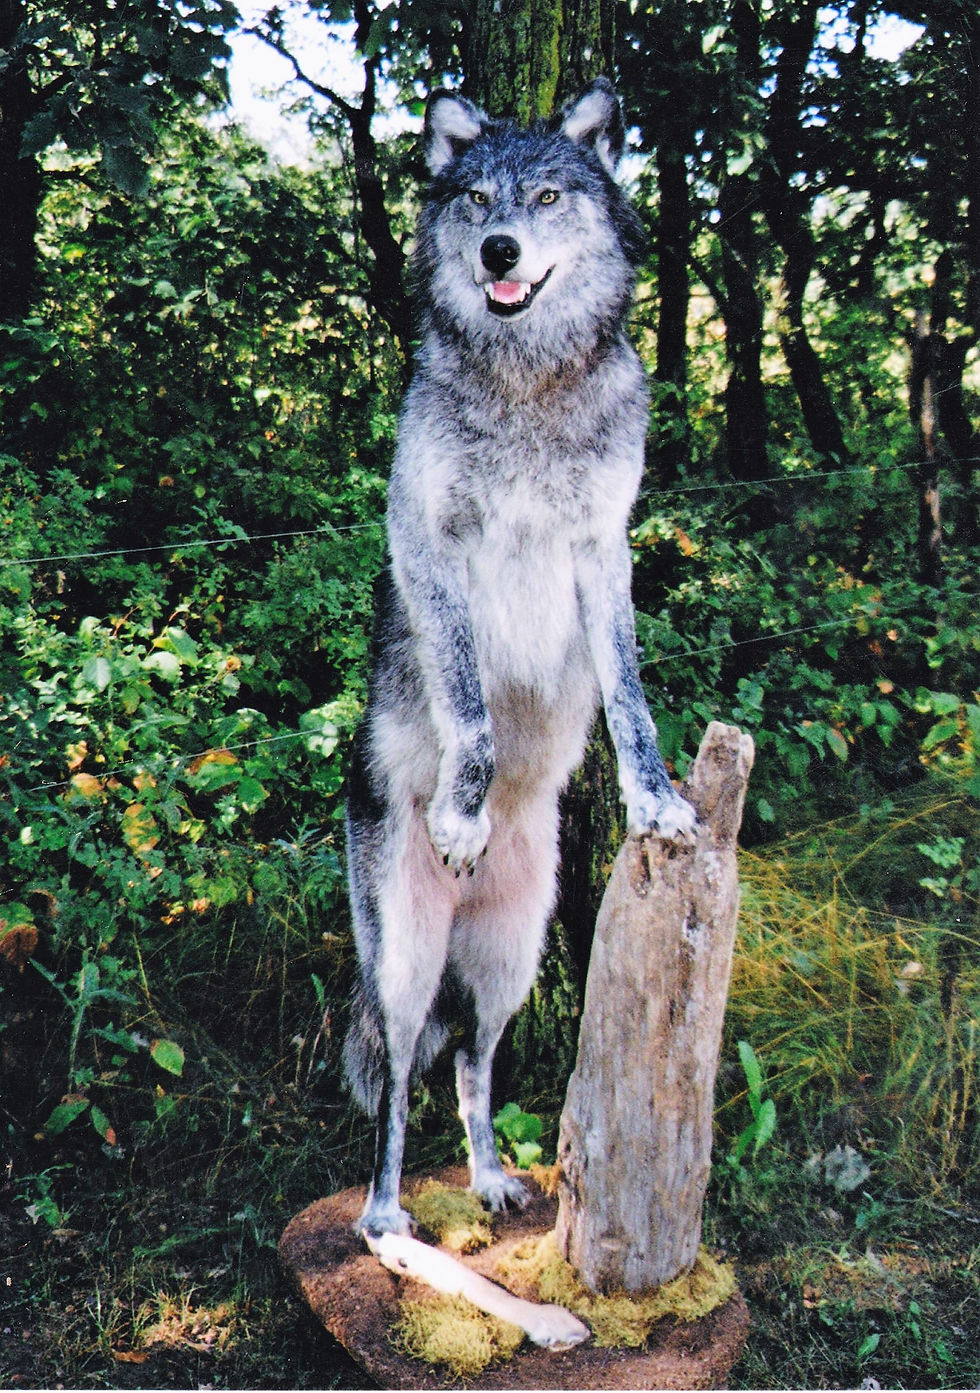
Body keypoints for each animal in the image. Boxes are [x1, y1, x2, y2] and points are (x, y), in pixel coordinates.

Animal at [343, 77, 698, 1238]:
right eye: (476, 198)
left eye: (545, 195)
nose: (500, 248)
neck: (528, 381)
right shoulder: (429, 546)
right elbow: (470, 702)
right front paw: (462, 809)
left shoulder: (603, 550)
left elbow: (631, 697)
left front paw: (657, 800)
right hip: (404, 966)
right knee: (400, 1079)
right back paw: (386, 1219)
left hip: (511, 958)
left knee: (473, 1065)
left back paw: (493, 1179)